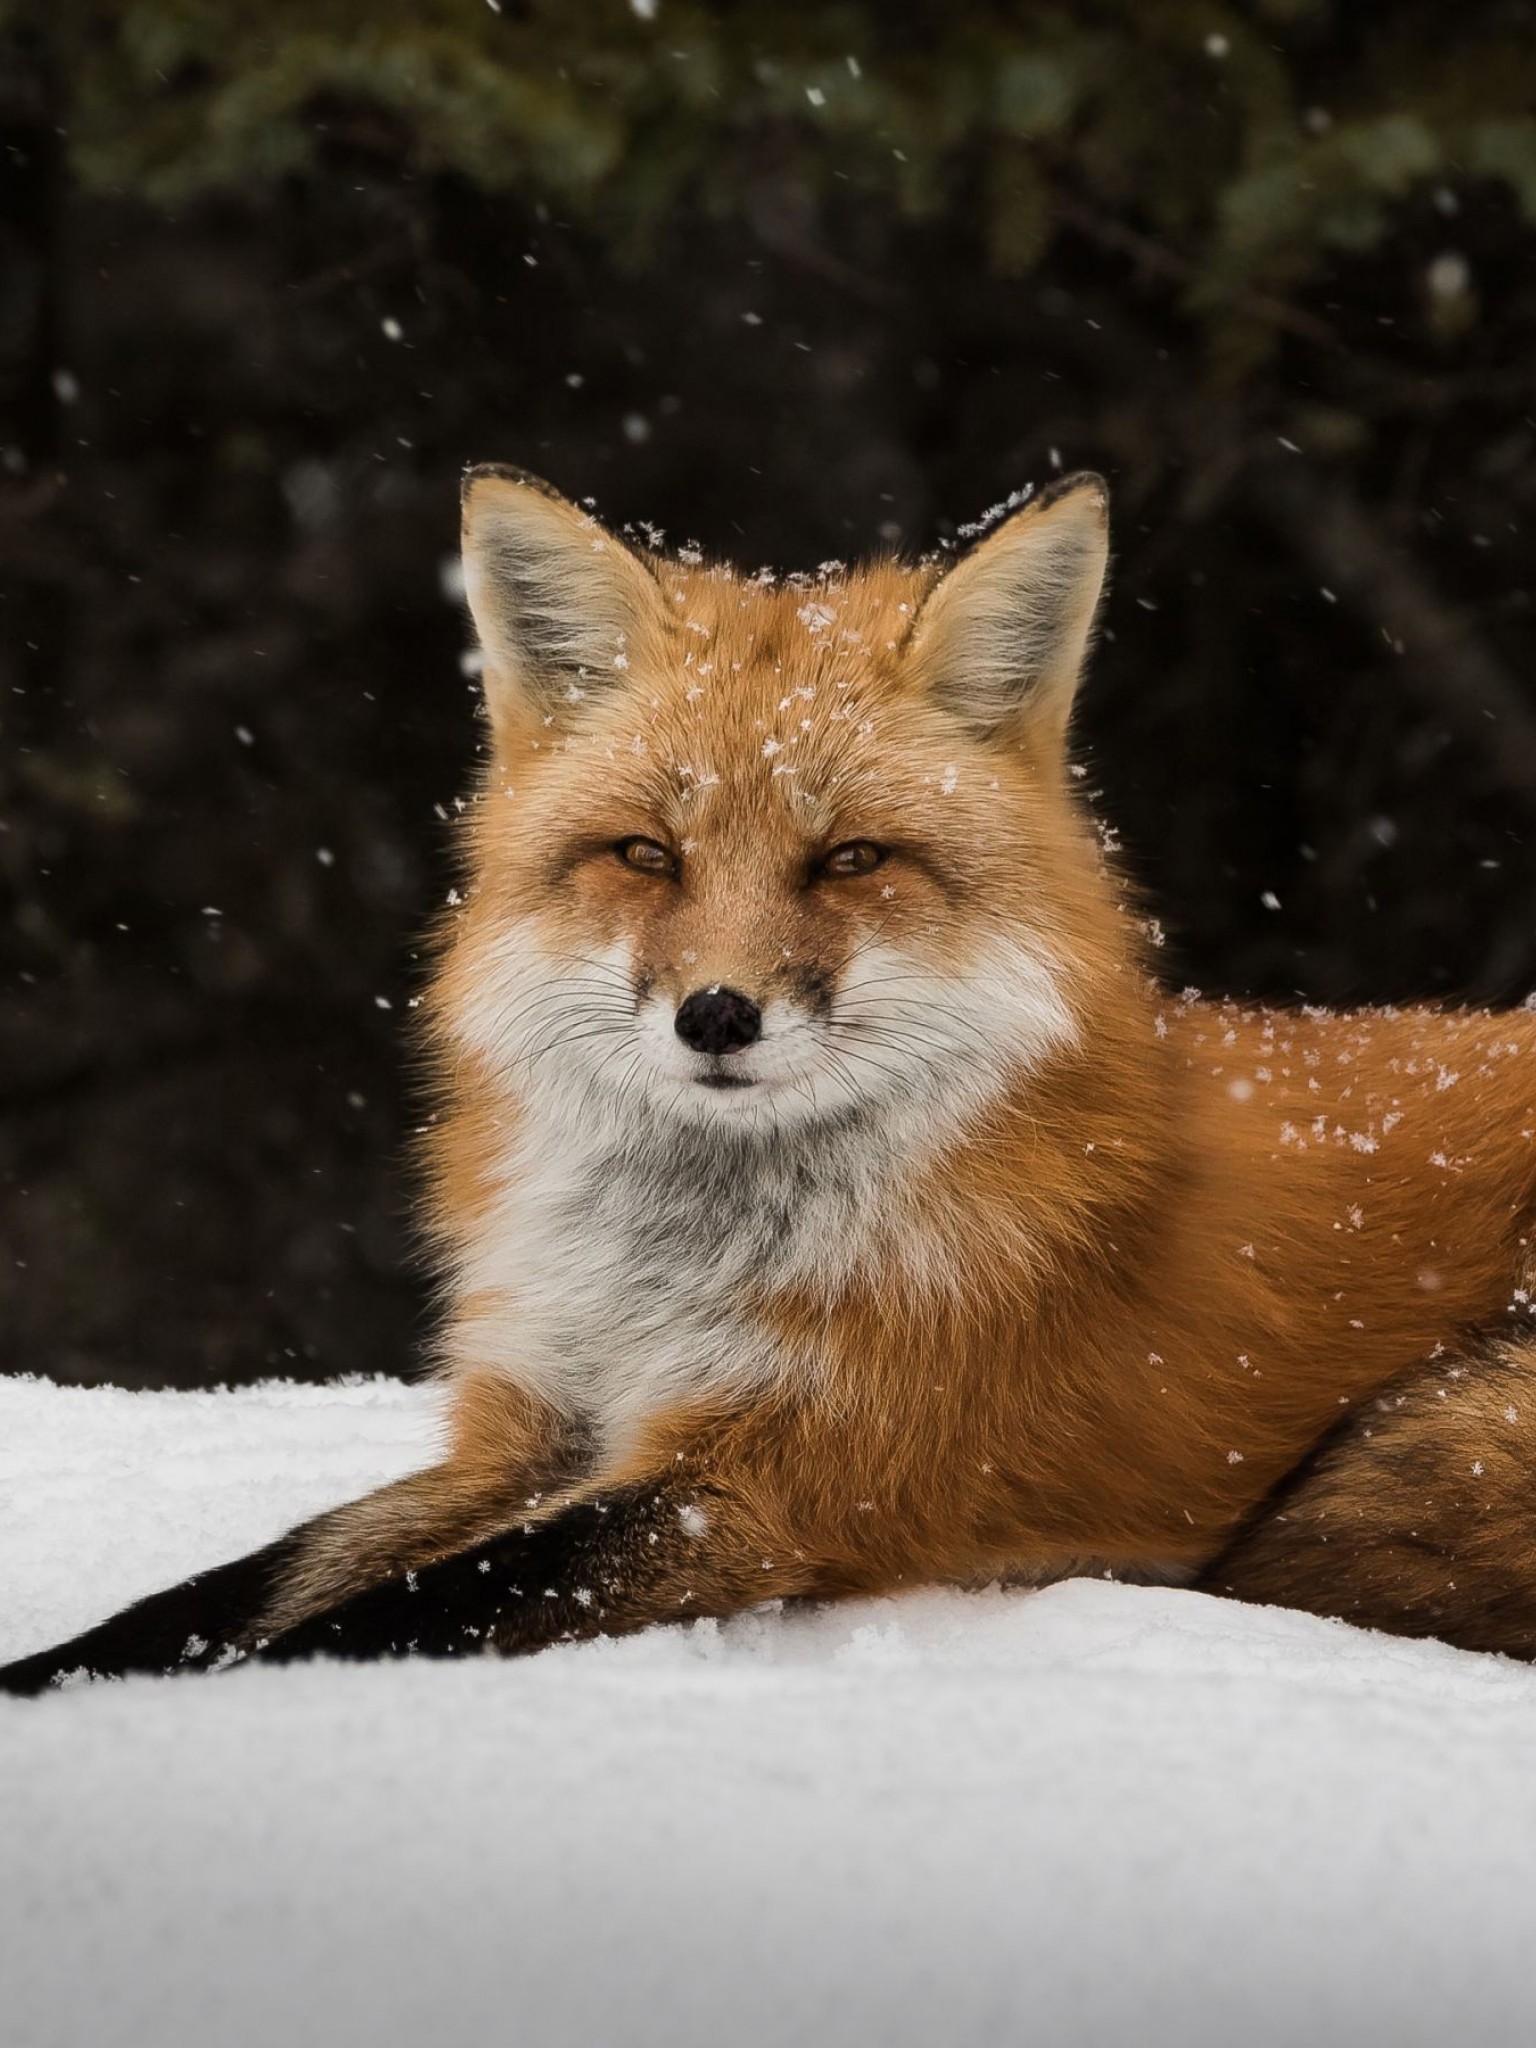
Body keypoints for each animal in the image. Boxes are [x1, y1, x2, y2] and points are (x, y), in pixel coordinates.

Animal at [8, 461, 1536, 1697]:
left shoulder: (763, 1484)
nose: (718, 1015)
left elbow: (377, 1619)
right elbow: (236, 1589)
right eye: (646, 855)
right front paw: (55, 1677)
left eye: (848, 860)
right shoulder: (528, 1426)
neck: (672, 1271)